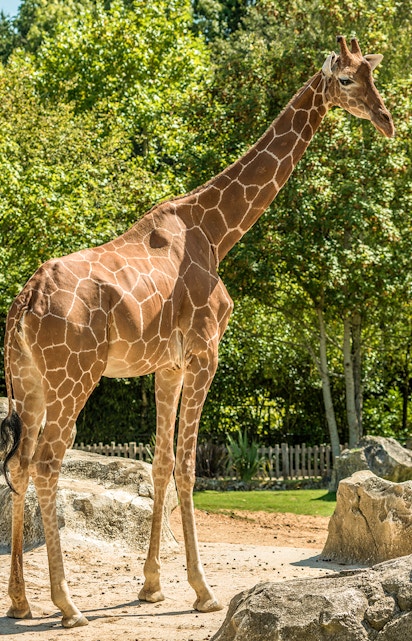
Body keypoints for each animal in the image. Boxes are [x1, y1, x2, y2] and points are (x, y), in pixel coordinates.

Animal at [0, 36, 394, 628]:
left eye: (373, 76)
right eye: (346, 81)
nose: (388, 120)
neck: (215, 229)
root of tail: (24, 302)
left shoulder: (166, 365)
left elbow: (161, 464)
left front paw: (151, 587)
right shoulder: (206, 351)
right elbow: (188, 466)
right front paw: (202, 590)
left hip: (29, 383)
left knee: (20, 467)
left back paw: (22, 602)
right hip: (74, 377)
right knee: (47, 465)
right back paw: (67, 606)